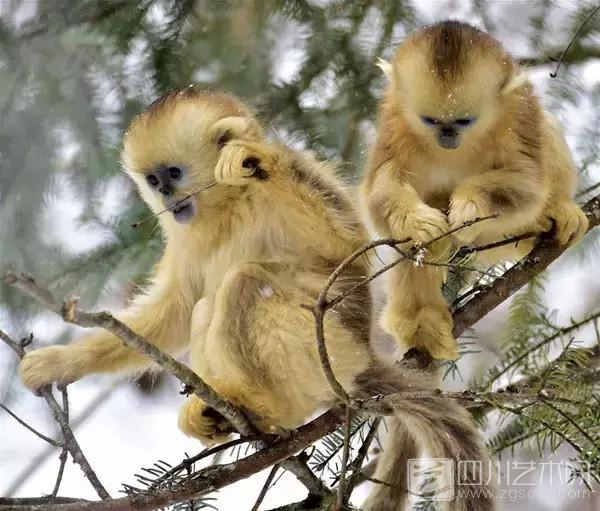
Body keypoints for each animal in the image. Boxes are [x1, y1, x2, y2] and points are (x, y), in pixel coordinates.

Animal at [21, 88, 494, 511]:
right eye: (153, 181)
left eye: (173, 174)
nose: (167, 198)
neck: (229, 206)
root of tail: (363, 357)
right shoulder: (184, 236)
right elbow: (175, 313)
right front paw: (59, 362)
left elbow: (343, 247)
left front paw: (256, 163)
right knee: (204, 307)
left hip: (328, 348)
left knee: (243, 283)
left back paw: (267, 410)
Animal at [360, 22, 584, 362]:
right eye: (431, 120)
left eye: (464, 120)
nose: (447, 138)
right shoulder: (394, 124)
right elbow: (379, 192)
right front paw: (420, 222)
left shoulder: (518, 115)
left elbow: (528, 182)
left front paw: (471, 207)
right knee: (416, 245)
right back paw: (422, 321)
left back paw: (553, 213)